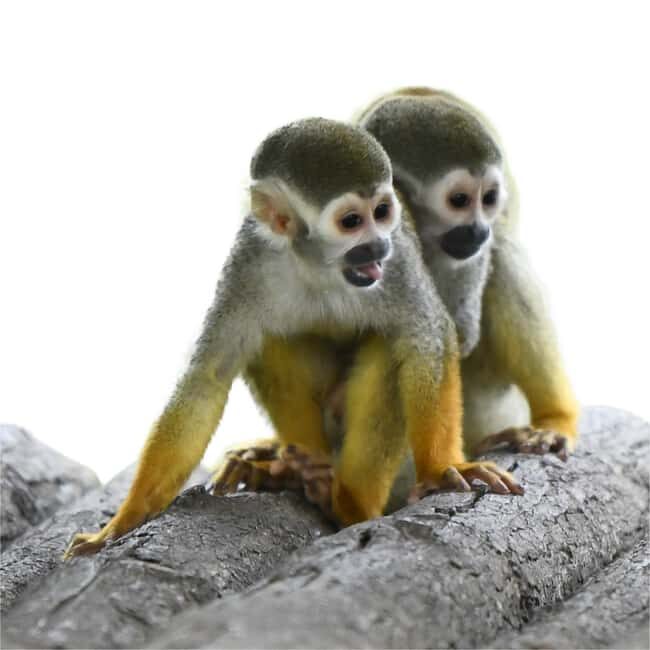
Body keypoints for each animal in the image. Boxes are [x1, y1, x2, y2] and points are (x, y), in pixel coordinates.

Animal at [64, 118, 522, 558]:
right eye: (351, 222)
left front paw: (442, 470)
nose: (377, 245)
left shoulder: (399, 264)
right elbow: (208, 378)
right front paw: (124, 520)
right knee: (268, 339)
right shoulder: (249, 262)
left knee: (389, 346)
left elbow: (429, 338)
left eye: (382, 211)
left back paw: (348, 505)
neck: (318, 265)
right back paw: (298, 470)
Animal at [355, 87, 579, 460]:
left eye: (488, 198)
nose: (478, 230)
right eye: (459, 200)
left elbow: (457, 333)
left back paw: (555, 419)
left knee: (502, 254)